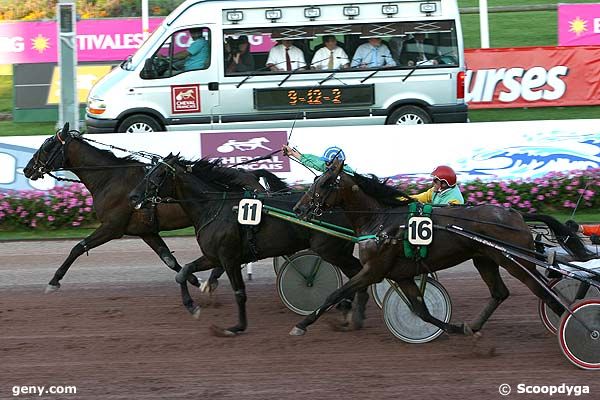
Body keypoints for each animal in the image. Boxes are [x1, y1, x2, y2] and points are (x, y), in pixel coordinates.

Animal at [22, 122, 268, 306]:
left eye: (48, 145)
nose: (27, 169)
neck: (110, 178)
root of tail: (252, 176)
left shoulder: (112, 227)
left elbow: (78, 247)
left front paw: (54, 281)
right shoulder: (146, 231)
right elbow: (169, 259)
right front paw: (194, 280)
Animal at [129, 155, 368, 336]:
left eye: (159, 174)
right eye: (147, 172)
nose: (133, 196)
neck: (213, 207)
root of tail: (344, 206)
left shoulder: (229, 258)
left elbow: (239, 292)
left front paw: (236, 327)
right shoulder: (213, 256)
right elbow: (184, 272)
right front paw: (193, 306)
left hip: (331, 250)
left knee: (357, 272)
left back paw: (348, 311)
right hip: (337, 250)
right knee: (356, 275)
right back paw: (349, 310)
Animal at [290, 159, 592, 338]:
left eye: (324, 183)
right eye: (314, 181)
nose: (299, 209)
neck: (381, 220)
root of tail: (515, 214)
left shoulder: (373, 270)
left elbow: (335, 293)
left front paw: (301, 325)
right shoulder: (400, 274)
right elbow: (421, 310)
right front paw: (454, 327)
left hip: (516, 261)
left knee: (545, 292)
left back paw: (574, 323)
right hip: (485, 259)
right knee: (500, 292)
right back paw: (474, 326)